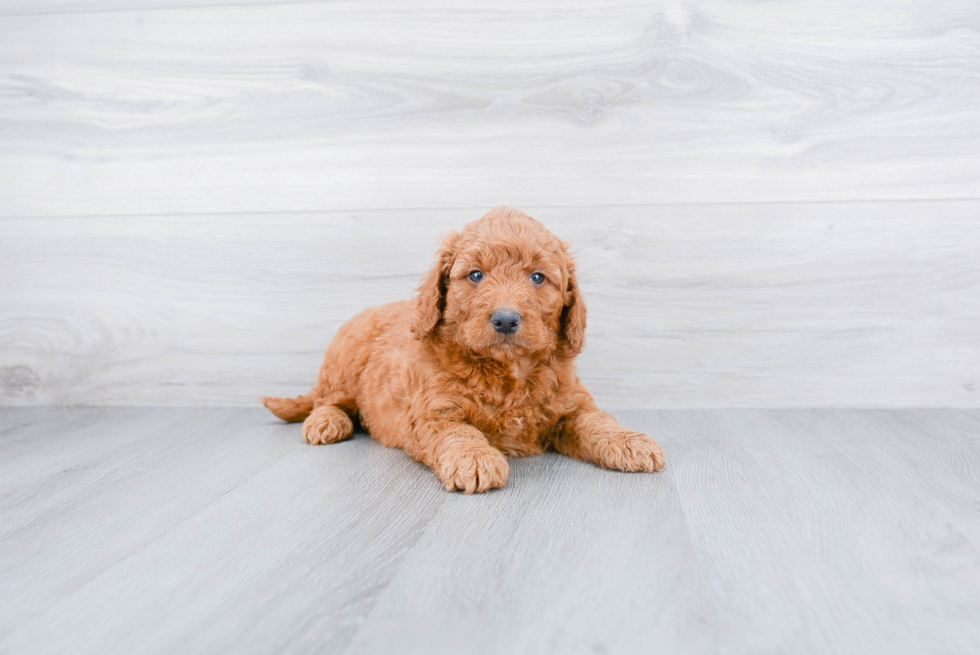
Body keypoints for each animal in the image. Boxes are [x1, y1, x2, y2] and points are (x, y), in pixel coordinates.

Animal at [264, 206, 668, 492]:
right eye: (475, 275)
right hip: (342, 365)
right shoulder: (434, 413)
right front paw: (475, 459)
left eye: (538, 277)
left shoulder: (572, 404)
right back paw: (326, 422)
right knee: (326, 400)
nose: (505, 319)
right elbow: (459, 433)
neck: (508, 372)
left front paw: (631, 442)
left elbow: (598, 421)